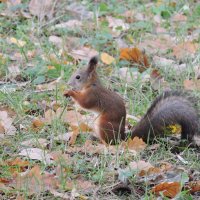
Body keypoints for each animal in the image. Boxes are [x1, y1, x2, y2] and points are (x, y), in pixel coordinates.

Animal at [63, 55, 198, 144]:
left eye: (78, 77)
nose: (68, 83)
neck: (91, 84)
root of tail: (122, 137)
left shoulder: (93, 95)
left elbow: (84, 103)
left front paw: (70, 92)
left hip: (104, 124)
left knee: (110, 142)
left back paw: (100, 142)